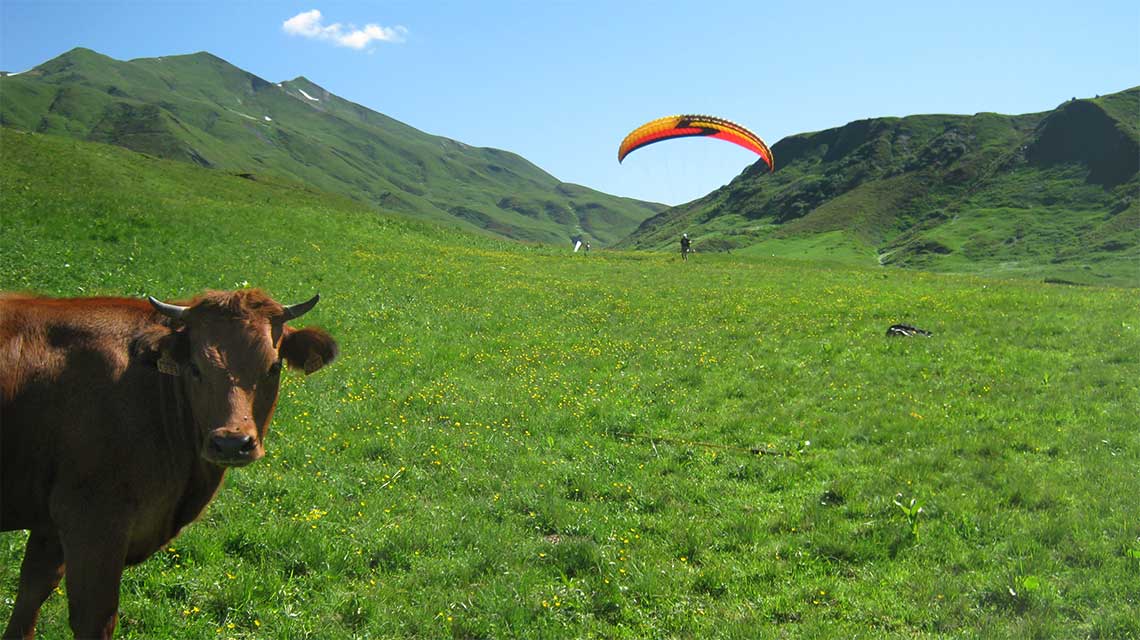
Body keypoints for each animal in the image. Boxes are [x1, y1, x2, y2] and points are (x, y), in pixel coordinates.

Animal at [0, 290, 335, 638]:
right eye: (195, 368)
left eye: (273, 366)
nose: (231, 442)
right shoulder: (91, 520)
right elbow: (93, 618)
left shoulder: (50, 526)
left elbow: (31, 595)